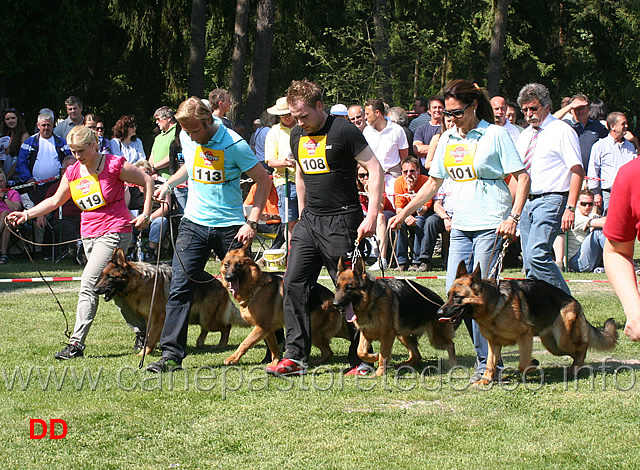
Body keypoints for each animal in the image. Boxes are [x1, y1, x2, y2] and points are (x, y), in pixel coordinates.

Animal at [95, 248, 248, 354]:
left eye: (110, 277)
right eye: (102, 275)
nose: (95, 290)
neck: (139, 282)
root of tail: (222, 286)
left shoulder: (158, 318)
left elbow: (151, 337)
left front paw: (144, 353)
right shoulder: (149, 318)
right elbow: (150, 335)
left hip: (208, 320)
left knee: (227, 326)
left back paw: (221, 344)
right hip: (199, 318)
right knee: (206, 329)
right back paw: (200, 342)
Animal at [220, 246, 350, 368]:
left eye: (239, 265)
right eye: (227, 265)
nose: (228, 277)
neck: (255, 287)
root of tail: (333, 298)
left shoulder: (261, 327)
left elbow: (245, 343)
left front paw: (232, 359)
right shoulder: (267, 330)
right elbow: (274, 348)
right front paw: (275, 363)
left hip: (314, 331)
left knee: (328, 352)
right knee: (328, 351)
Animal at [438, 262, 616, 384]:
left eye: (457, 297)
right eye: (448, 296)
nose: (439, 312)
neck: (494, 304)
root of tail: (575, 302)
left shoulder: (525, 336)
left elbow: (522, 364)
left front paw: (532, 365)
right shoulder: (494, 344)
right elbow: (490, 364)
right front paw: (486, 380)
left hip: (562, 340)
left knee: (583, 346)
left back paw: (577, 366)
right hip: (553, 345)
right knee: (576, 350)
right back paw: (573, 367)